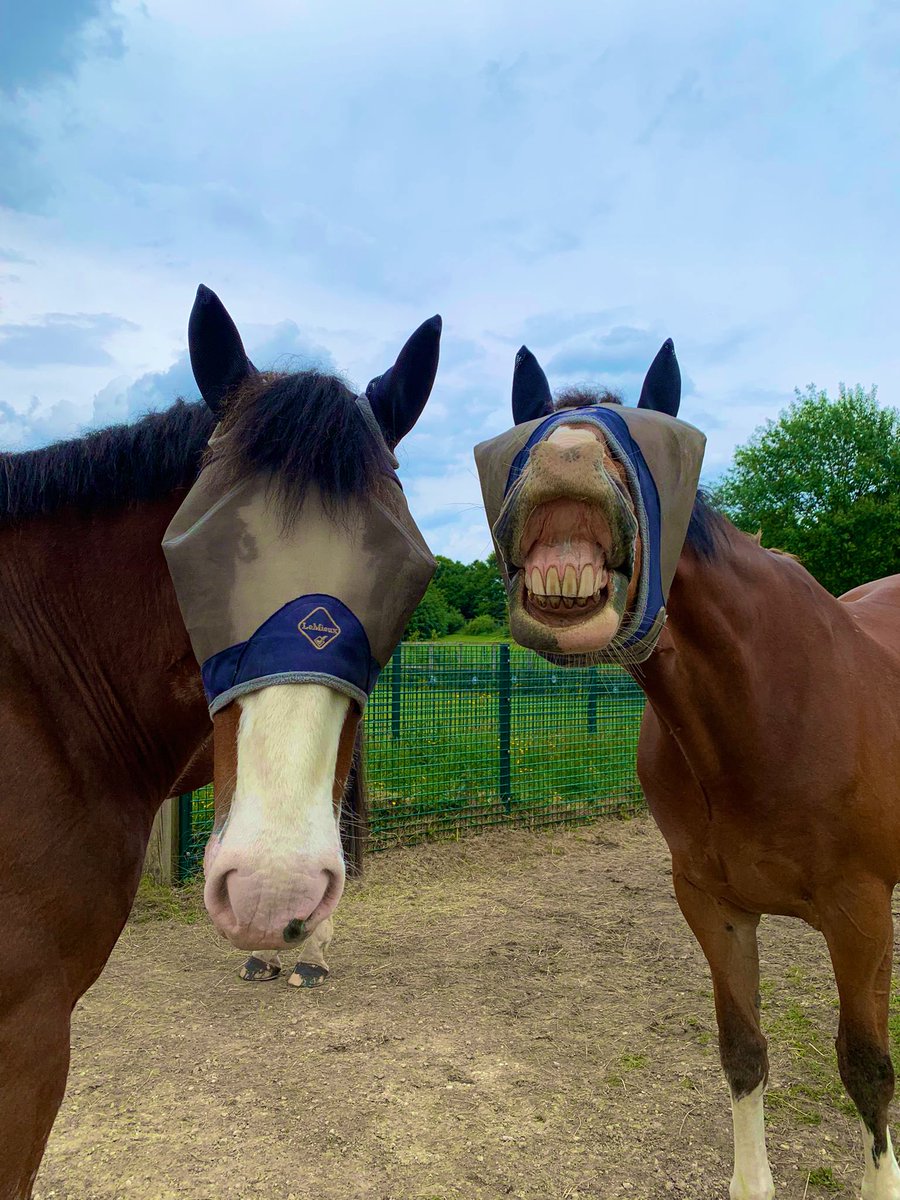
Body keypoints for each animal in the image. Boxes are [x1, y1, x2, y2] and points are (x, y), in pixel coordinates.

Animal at [475, 345, 900, 1200]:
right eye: (522, 437)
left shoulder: (860, 910)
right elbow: (743, 1051)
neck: (761, 712)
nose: (565, 459)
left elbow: (868, 1070)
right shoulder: (715, 906)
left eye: (648, 439)